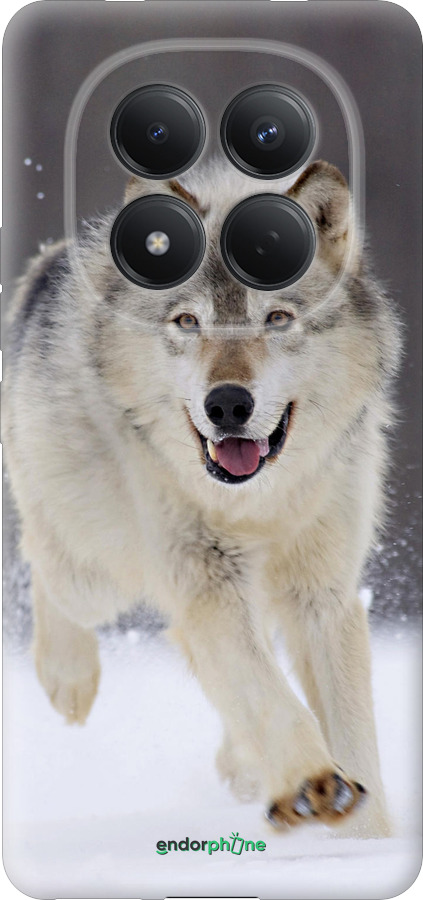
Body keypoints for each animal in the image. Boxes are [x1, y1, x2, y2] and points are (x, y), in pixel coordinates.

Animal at [3, 159, 401, 837]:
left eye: (277, 319)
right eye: (188, 322)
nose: (228, 405)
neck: (258, 503)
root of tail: (49, 263)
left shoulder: (323, 595)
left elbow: (349, 734)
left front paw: (364, 837)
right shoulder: (206, 581)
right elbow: (270, 697)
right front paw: (312, 783)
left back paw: (243, 765)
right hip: (98, 572)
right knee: (45, 562)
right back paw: (68, 679)